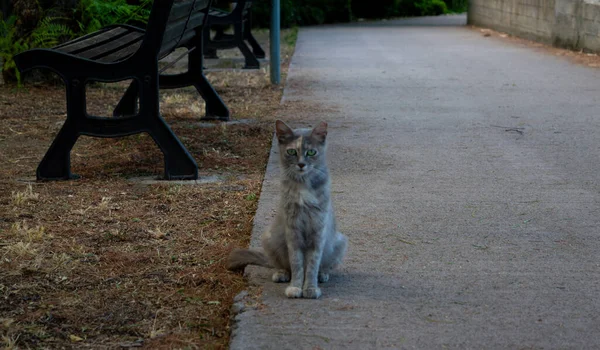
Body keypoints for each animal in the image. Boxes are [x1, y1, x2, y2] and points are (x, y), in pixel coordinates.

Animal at [227, 119, 346, 298]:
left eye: (311, 152)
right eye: (291, 152)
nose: (301, 164)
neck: (303, 185)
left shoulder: (317, 231)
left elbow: (312, 265)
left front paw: (310, 288)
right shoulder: (293, 231)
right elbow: (297, 264)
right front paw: (296, 287)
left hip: (339, 242)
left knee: (324, 266)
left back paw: (322, 274)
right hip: (270, 238)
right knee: (283, 265)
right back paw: (281, 274)